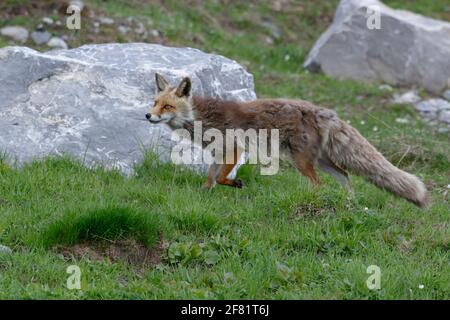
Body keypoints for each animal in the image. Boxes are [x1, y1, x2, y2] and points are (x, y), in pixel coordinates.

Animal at [147, 73, 428, 208]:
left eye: (167, 106)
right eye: (155, 103)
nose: (148, 115)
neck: (201, 117)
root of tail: (322, 111)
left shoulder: (234, 149)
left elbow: (221, 178)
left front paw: (236, 183)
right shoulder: (218, 154)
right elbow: (209, 179)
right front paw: (204, 195)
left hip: (301, 162)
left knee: (319, 184)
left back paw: (316, 201)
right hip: (321, 161)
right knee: (345, 175)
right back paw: (349, 202)